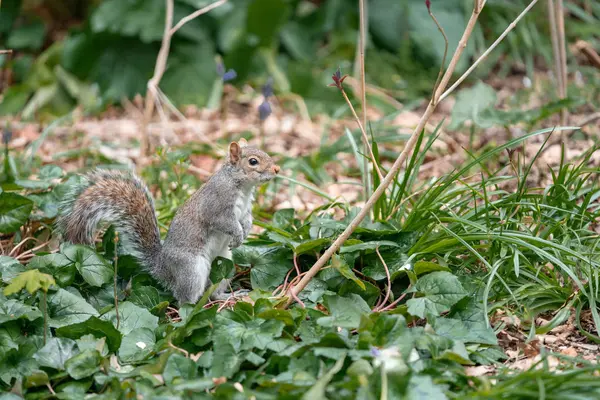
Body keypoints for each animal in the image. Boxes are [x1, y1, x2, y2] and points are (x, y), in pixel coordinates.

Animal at [55, 139, 280, 304]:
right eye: (253, 161)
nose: (276, 169)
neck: (242, 186)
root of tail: (163, 268)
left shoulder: (246, 210)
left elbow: (247, 219)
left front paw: (245, 231)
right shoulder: (217, 206)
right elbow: (225, 223)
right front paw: (238, 234)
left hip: (224, 266)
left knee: (213, 289)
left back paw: (226, 296)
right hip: (191, 269)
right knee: (184, 299)